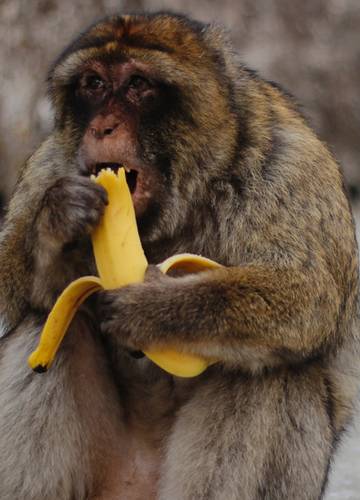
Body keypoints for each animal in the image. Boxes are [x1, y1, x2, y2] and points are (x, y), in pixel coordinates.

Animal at [0, 11, 358, 500]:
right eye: (93, 83)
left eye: (137, 84)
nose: (102, 127)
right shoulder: (49, 164)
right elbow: (9, 288)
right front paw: (57, 220)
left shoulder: (289, 164)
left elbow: (305, 295)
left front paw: (155, 309)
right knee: (50, 324)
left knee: (272, 371)